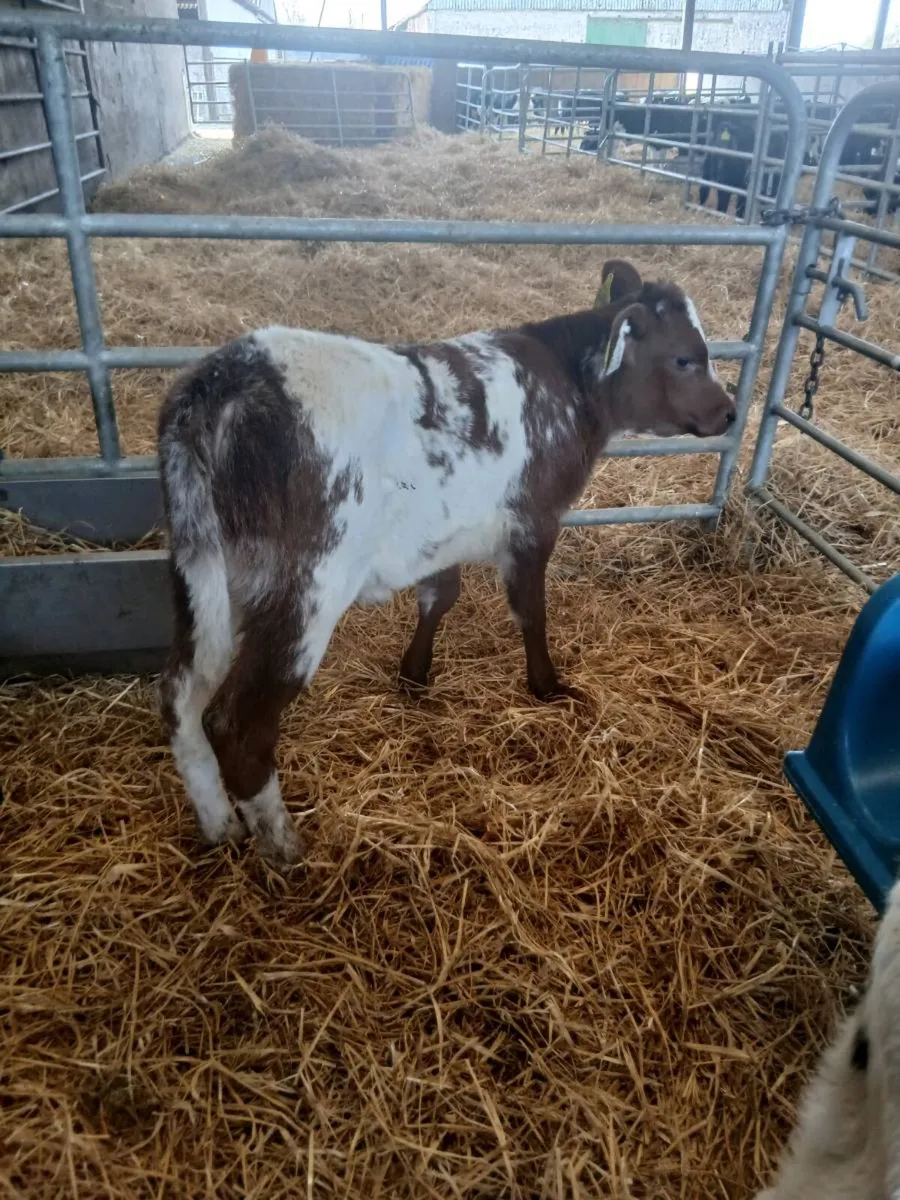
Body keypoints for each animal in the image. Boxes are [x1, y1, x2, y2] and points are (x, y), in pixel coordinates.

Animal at [157, 260, 735, 867]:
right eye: (686, 358)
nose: (729, 411)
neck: (569, 385)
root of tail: (220, 381)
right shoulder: (534, 521)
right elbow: (531, 611)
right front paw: (547, 685)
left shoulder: (440, 534)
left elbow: (440, 597)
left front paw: (414, 674)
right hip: (304, 588)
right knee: (237, 722)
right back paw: (285, 845)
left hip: (203, 573)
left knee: (180, 695)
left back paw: (219, 823)